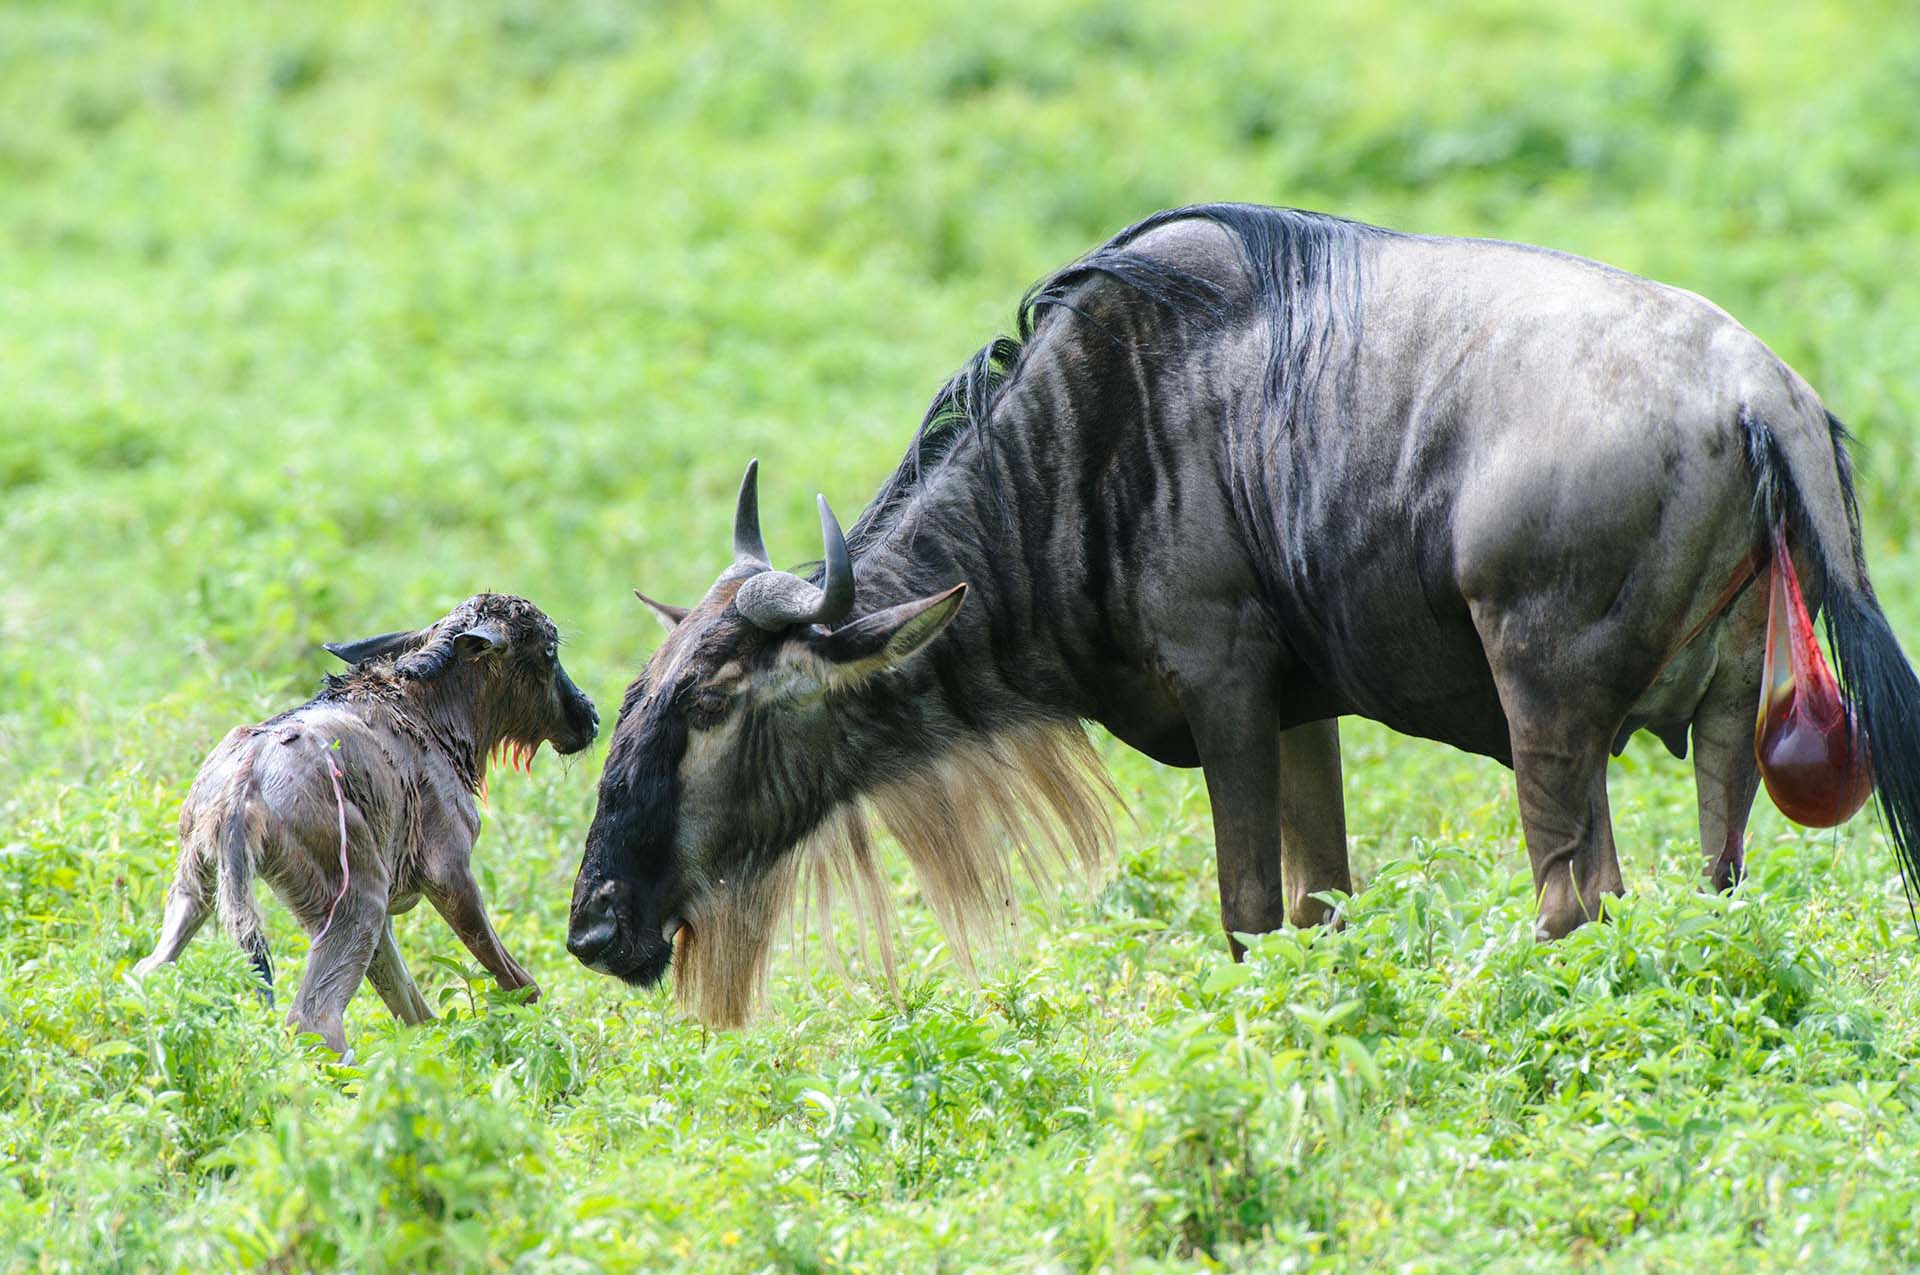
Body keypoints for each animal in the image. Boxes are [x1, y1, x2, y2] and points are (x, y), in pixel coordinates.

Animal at [136, 593, 599, 1054]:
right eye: (550, 651)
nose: (591, 716)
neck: (429, 717)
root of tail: (241, 786)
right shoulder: (448, 871)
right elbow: (517, 980)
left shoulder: (392, 912)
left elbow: (413, 1009)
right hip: (356, 896)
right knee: (312, 1018)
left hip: (197, 883)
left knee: (148, 970)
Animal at [568, 203, 1920, 1026]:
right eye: (627, 699)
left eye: (711, 706)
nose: (592, 928)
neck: (1079, 458)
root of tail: (1758, 390)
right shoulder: (1299, 708)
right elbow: (1324, 904)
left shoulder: (1224, 689)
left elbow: (1249, 915)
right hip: (1723, 712)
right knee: (1710, 884)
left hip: (1547, 702)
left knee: (1575, 900)